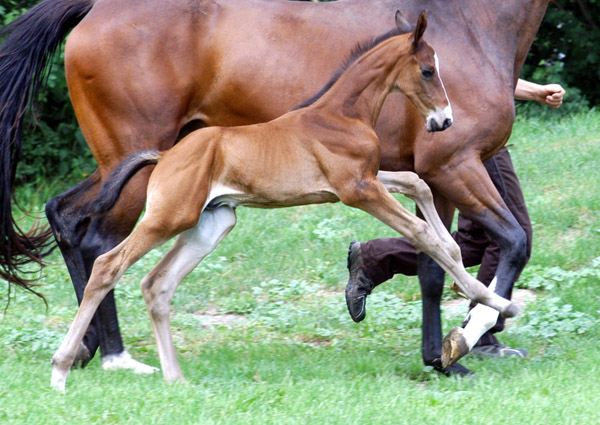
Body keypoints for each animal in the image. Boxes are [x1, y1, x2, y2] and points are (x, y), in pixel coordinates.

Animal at [0, 0, 548, 372]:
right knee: (102, 244)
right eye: (431, 70)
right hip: (141, 169)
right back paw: (114, 355)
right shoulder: (447, 165)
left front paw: (454, 349)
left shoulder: (422, 171)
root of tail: (93, 9)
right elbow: (491, 243)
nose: (442, 120)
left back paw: (86, 348)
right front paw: (465, 339)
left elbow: (444, 251)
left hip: (133, 165)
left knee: (65, 214)